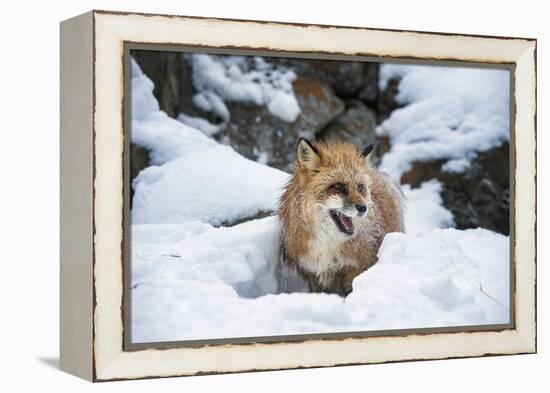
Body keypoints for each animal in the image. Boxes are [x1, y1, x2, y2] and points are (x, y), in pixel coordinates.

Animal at [280, 138, 406, 294]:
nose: (363, 208)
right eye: (338, 186)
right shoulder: (311, 272)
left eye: (359, 187)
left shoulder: (353, 269)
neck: (327, 244)